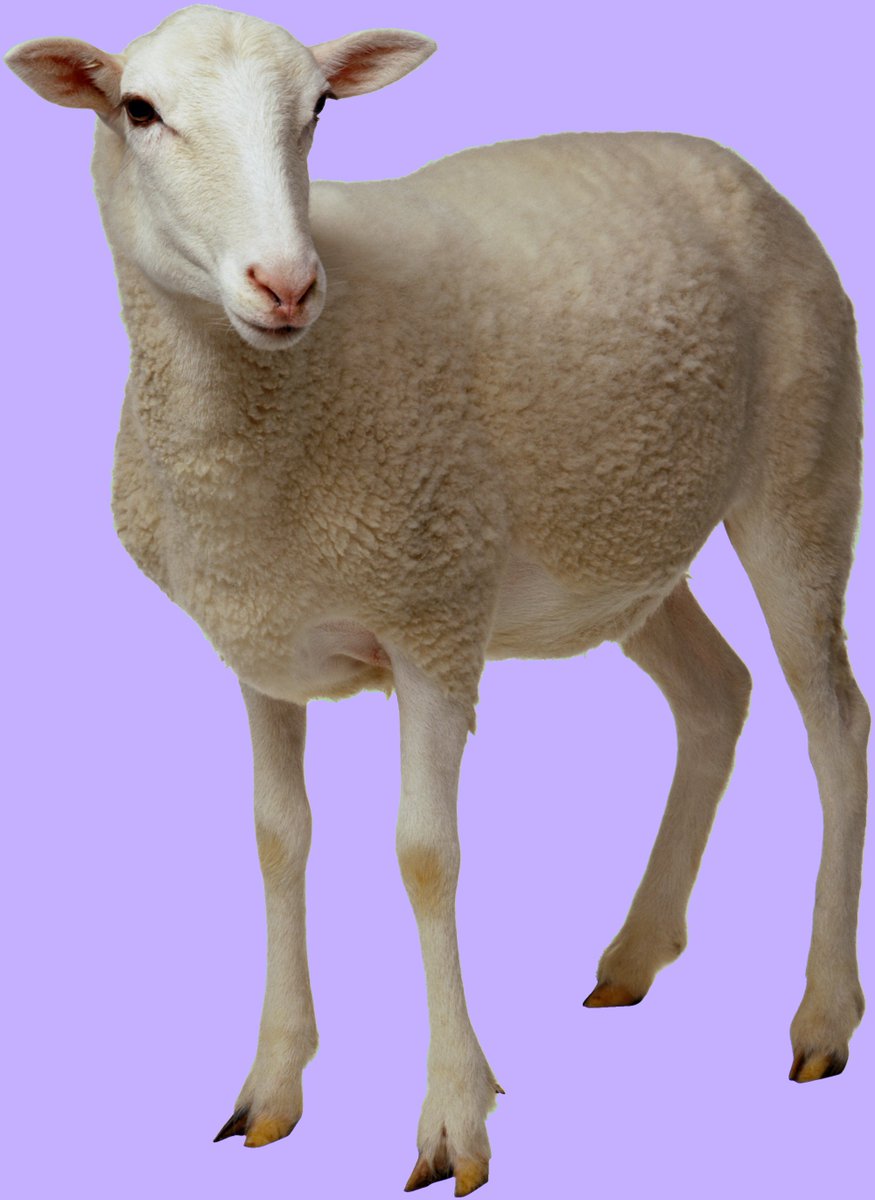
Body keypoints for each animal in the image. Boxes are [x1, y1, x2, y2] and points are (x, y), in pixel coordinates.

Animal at [5, 4, 869, 1195]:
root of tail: (727, 161)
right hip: (621, 543)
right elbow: (276, 838)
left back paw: (822, 1013)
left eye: (319, 110)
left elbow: (425, 856)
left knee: (833, 722)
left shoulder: (433, 620)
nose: (285, 284)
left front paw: (455, 1116)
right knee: (715, 693)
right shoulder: (260, 640)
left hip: (802, 464)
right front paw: (272, 1085)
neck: (273, 410)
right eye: (138, 110)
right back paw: (636, 951)